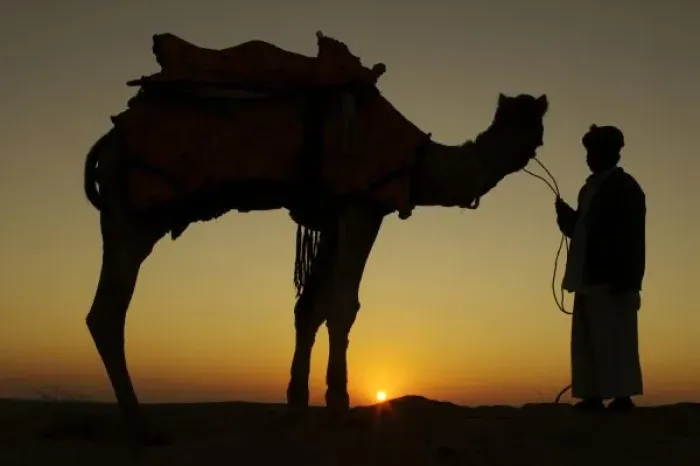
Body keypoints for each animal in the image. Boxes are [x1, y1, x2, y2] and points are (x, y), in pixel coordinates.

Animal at [83, 89, 548, 445]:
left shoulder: (332, 218)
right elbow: (344, 305)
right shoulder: (363, 206)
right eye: (533, 123)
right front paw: (339, 407)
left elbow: (310, 308)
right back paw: (143, 428)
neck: (417, 162)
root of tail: (107, 140)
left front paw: (296, 404)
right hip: (133, 216)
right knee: (107, 311)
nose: (535, 141)